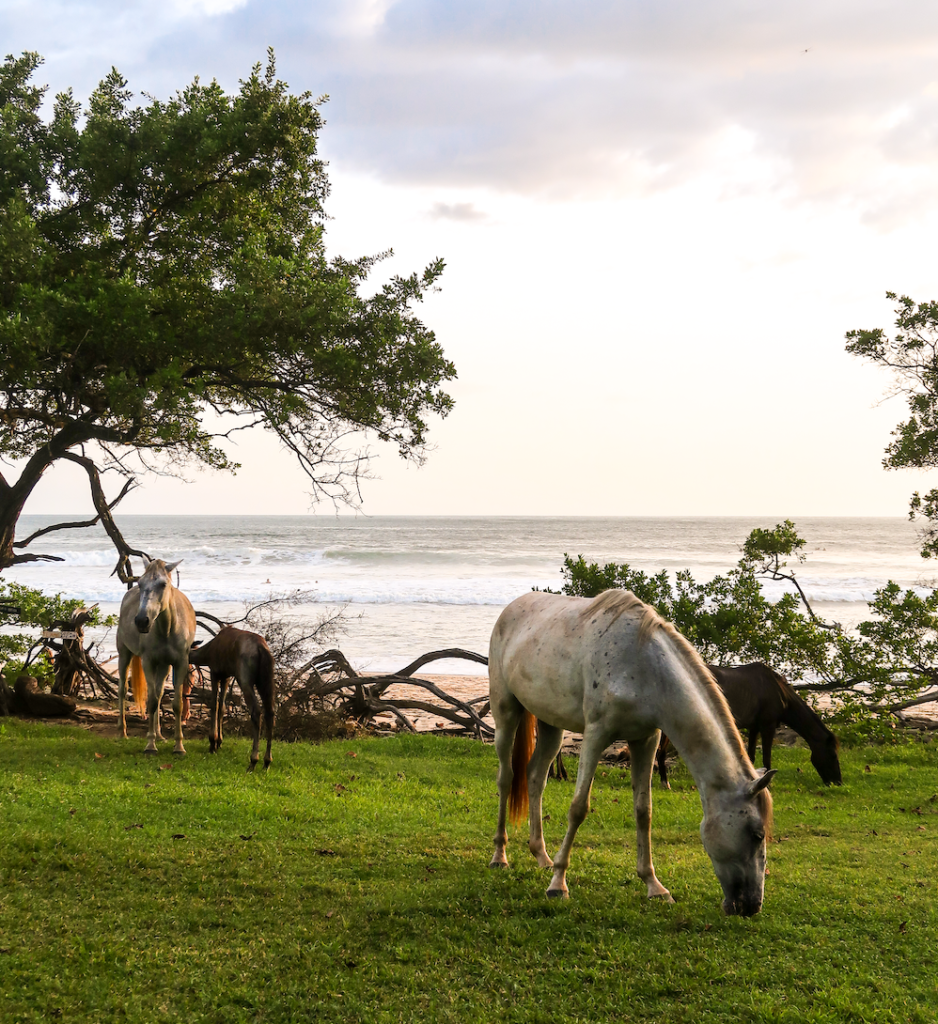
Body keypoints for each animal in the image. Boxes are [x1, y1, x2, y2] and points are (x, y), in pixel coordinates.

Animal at [117, 557, 197, 757]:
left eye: (163, 584)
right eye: (140, 583)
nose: (141, 621)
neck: (168, 629)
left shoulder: (180, 664)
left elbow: (176, 704)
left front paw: (179, 746)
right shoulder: (148, 662)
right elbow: (151, 702)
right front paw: (150, 745)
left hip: (163, 666)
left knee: (160, 694)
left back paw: (160, 735)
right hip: (124, 654)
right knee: (123, 690)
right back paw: (122, 731)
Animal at [188, 622, 276, 774]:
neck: (206, 654)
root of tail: (262, 649)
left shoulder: (215, 672)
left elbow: (214, 705)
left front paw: (212, 743)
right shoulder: (226, 676)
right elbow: (222, 707)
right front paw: (219, 742)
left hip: (245, 678)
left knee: (256, 711)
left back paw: (253, 761)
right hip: (266, 680)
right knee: (270, 712)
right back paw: (267, 762)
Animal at [487, 589, 774, 917]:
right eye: (757, 834)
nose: (751, 905)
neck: (644, 665)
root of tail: (511, 608)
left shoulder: (646, 739)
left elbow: (643, 811)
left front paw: (654, 886)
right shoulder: (596, 734)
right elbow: (578, 807)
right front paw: (558, 884)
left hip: (550, 725)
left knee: (535, 777)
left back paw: (541, 856)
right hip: (505, 711)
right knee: (506, 778)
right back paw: (500, 856)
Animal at [655, 659, 847, 786]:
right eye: (832, 755)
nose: (837, 782)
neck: (779, 691)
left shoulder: (754, 727)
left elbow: (752, 756)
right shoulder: (768, 726)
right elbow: (767, 757)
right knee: (661, 752)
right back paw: (665, 783)